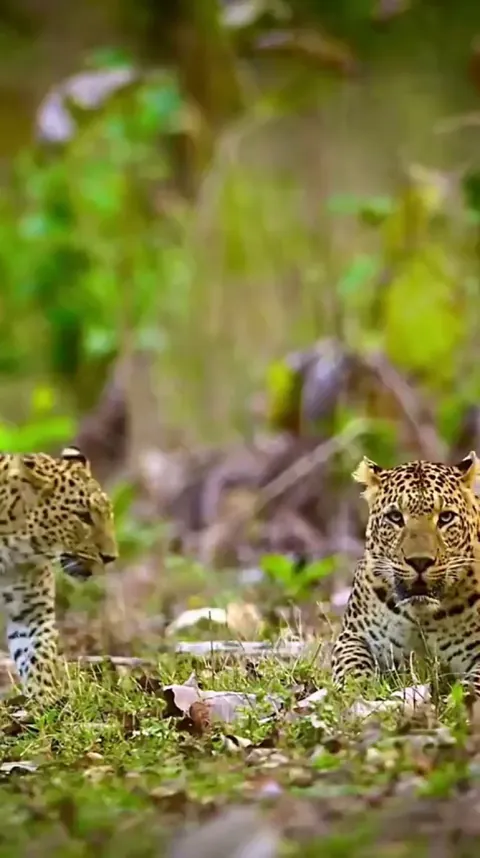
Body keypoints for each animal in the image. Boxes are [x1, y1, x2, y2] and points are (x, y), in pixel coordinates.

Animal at [0, 445, 118, 700]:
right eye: (83, 516)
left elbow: (38, 655)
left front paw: (45, 699)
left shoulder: (32, 612)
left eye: (109, 513)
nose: (111, 557)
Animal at [331, 450, 480, 699]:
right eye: (395, 517)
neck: (423, 617)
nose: (420, 561)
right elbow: (352, 667)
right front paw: (360, 692)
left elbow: (474, 687)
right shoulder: (353, 635)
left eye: (446, 518)